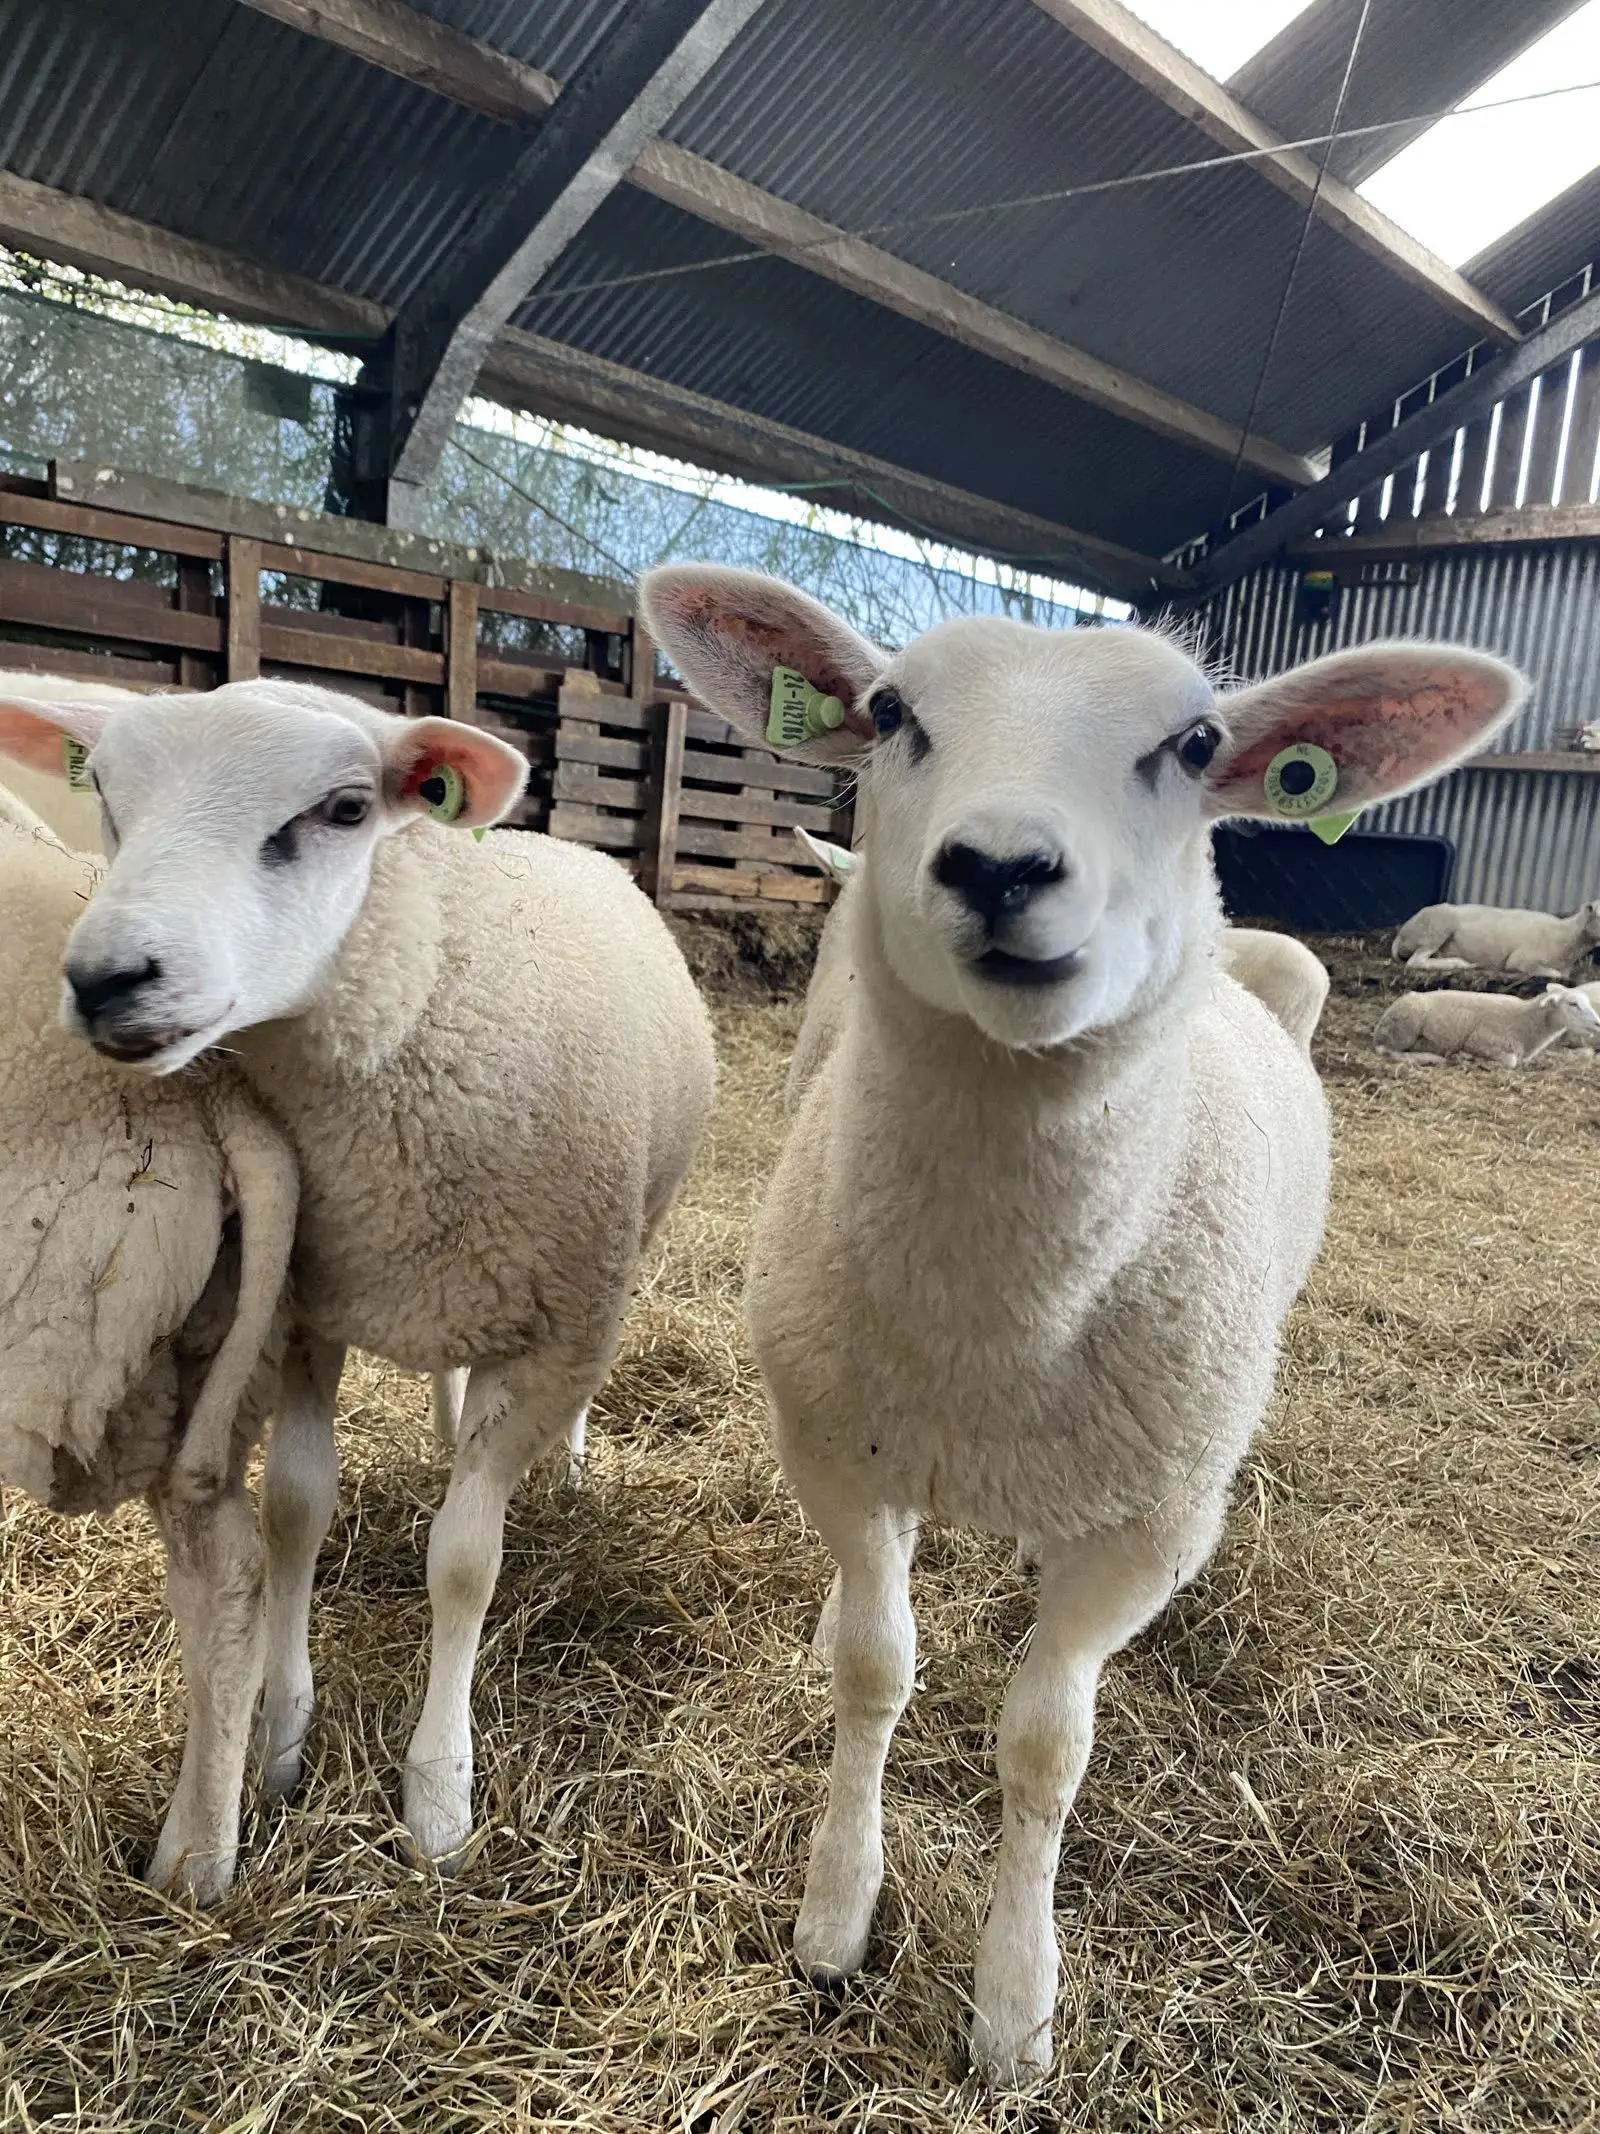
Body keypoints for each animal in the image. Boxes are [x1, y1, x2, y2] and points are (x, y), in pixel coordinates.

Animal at [645, 564, 1524, 2085]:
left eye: (1195, 742)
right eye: (892, 710)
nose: (999, 867)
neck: (997, 1315)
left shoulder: (1151, 1525)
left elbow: (1047, 1745)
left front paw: (1014, 2010)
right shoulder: (836, 1446)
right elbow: (876, 1667)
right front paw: (835, 1917)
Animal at [1371, 982, 1600, 1064]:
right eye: (1572, 1004)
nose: (1598, 1023)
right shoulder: (1481, 1041)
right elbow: (1510, 1062)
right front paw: (1465, 1056)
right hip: (1404, 1030)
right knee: (1387, 1050)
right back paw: (1431, 1057)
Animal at [1391, 897, 1600, 978]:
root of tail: (1401, 933)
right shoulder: (1521, 960)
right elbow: (1555, 974)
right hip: (1437, 927)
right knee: (1416, 961)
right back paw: (1461, 963)